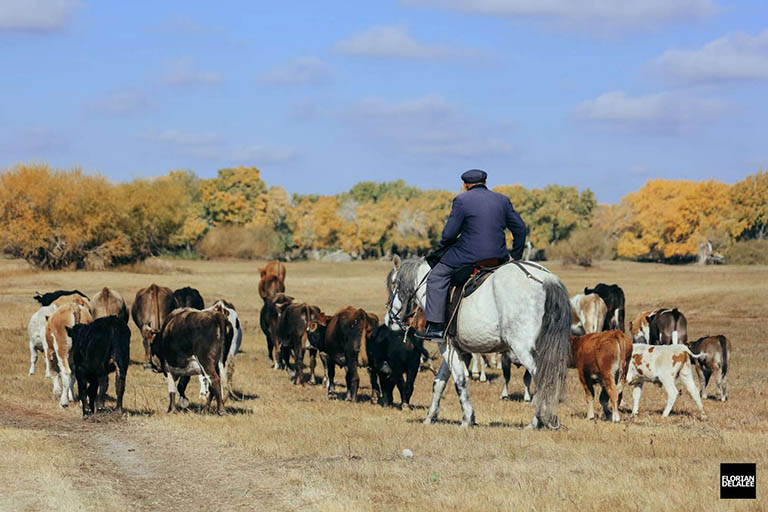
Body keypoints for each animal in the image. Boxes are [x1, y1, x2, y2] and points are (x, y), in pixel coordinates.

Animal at [384, 256, 568, 428]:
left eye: (394, 284)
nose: (389, 320)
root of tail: (546, 279)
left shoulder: (446, 346)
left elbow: (459, 381)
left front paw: (467, 418)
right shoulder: (454, 348)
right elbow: (439, 382)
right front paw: (430, 416)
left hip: (523, 349)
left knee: (542, 379)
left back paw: (536, 421)